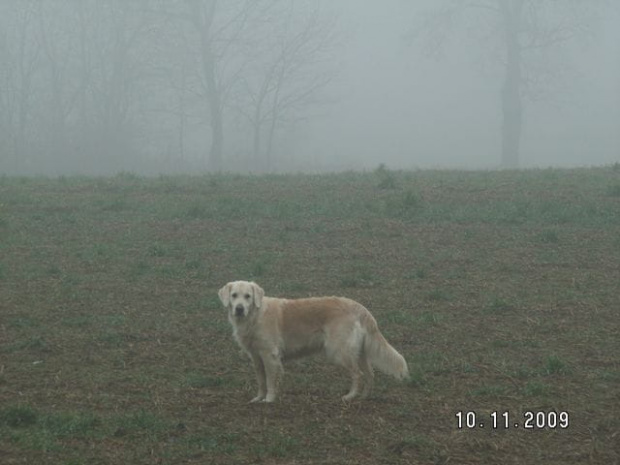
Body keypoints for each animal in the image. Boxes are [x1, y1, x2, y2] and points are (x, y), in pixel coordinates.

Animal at [219, 280, 412, 402]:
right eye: (234, 295)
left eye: (248, 296)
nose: (239, 309)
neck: (254, 315)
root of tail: (359, 307)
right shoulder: (256, 357)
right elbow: (261, 380)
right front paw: (258, 398)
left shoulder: (269, 355)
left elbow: (270, 380)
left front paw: (269, 399)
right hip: (359, 353)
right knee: (370, 374)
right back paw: (364, 397)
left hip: (340, 351)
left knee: (358, 374)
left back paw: (350, 397)